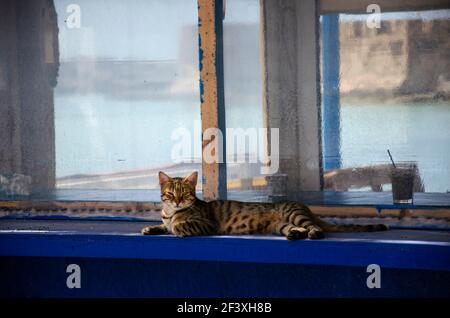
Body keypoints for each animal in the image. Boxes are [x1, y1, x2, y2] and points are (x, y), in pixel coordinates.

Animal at [142, 171, 388, 238]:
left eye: (184, 194)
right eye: (170, 193)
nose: (177, 201)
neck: (170, 213)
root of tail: (306, 207)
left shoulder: (207, 224)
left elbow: (181, 226)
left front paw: (178, 228)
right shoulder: (166, 219)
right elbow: (162, 226)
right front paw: (150, 227)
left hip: (294, 214)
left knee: (315, 227)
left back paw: (313, 233)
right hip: (280, 225)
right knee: (294, 229)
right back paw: (295, 235)